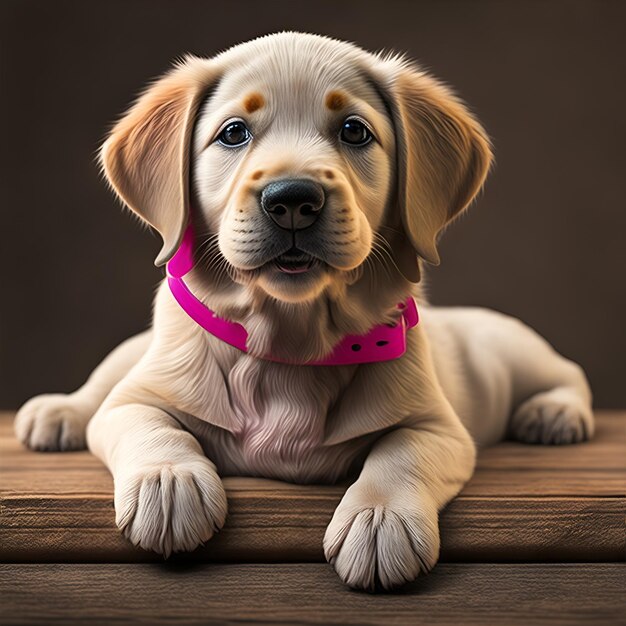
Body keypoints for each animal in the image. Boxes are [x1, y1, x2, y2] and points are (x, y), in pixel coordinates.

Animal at [14, 33, 588, 588]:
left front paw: (379, 518)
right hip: (130, 355)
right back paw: (57, 413)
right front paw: (169, 482)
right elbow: (152, 426)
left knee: (568, 373)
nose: (292, 199)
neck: (291, 339)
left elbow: (400, 455)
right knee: (98, 387)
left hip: (514, 347)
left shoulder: (439, 428)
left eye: (355, 131)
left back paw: (554, 413)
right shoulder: (131, 402)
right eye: (233, 133)